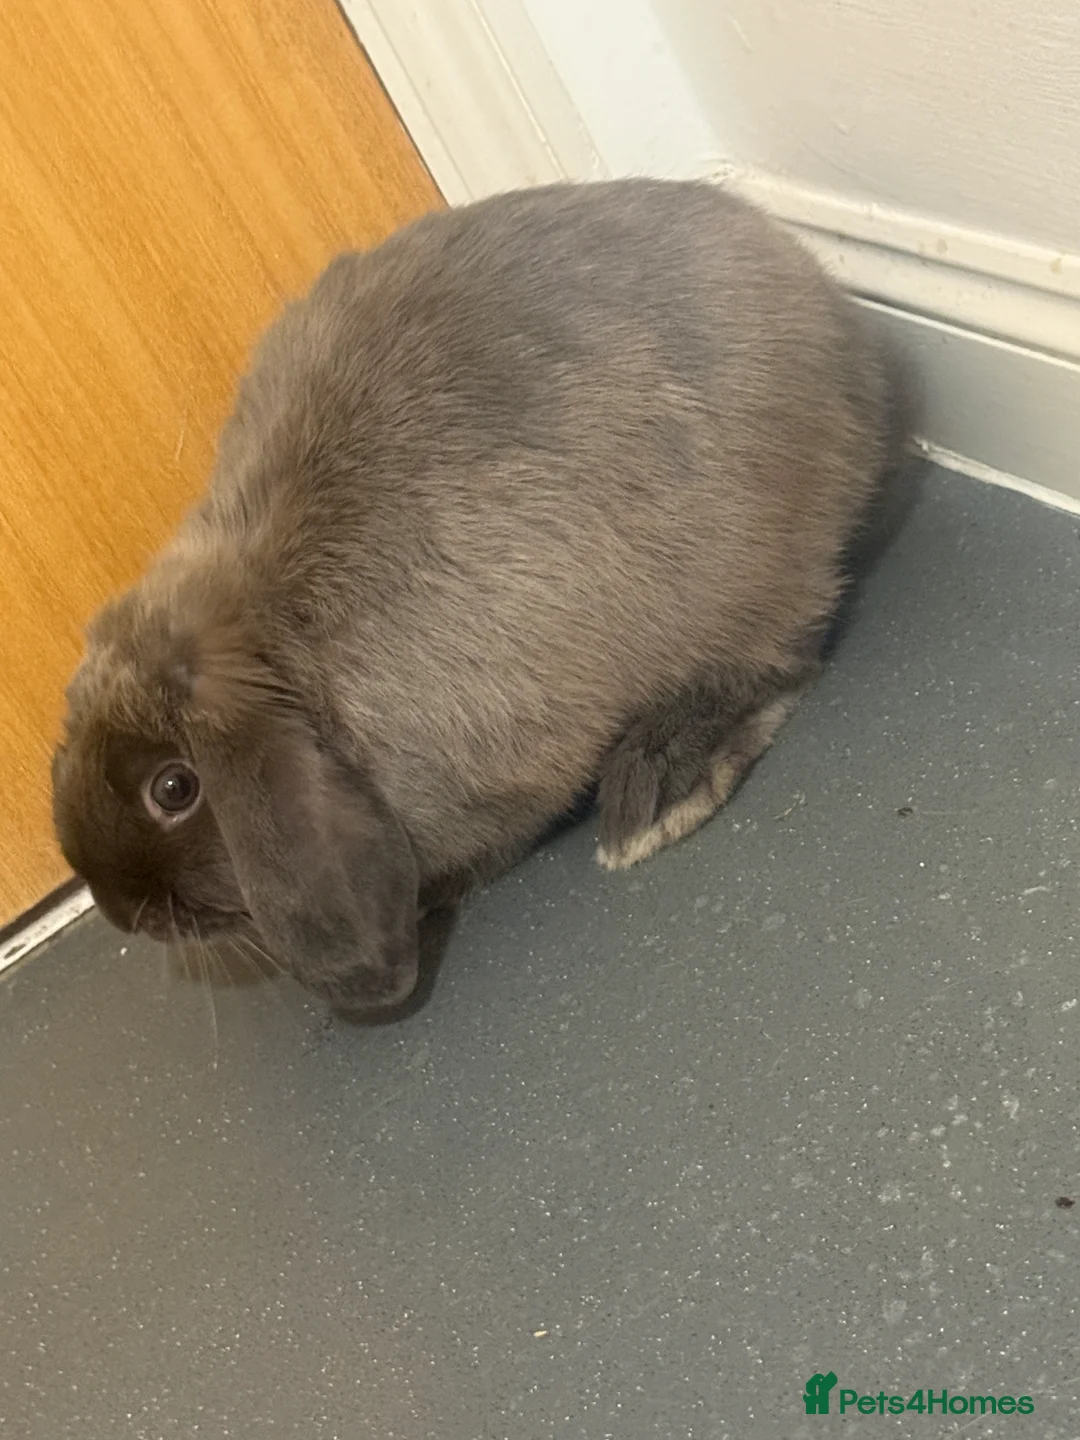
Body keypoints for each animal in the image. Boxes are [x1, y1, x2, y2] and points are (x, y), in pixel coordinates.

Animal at [52, 177, 895, 1013]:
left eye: (174, 788)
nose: (122, 909)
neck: (281, 639)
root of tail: (834, 320)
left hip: (734, 568)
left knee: (777, 660)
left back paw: (652, 794)